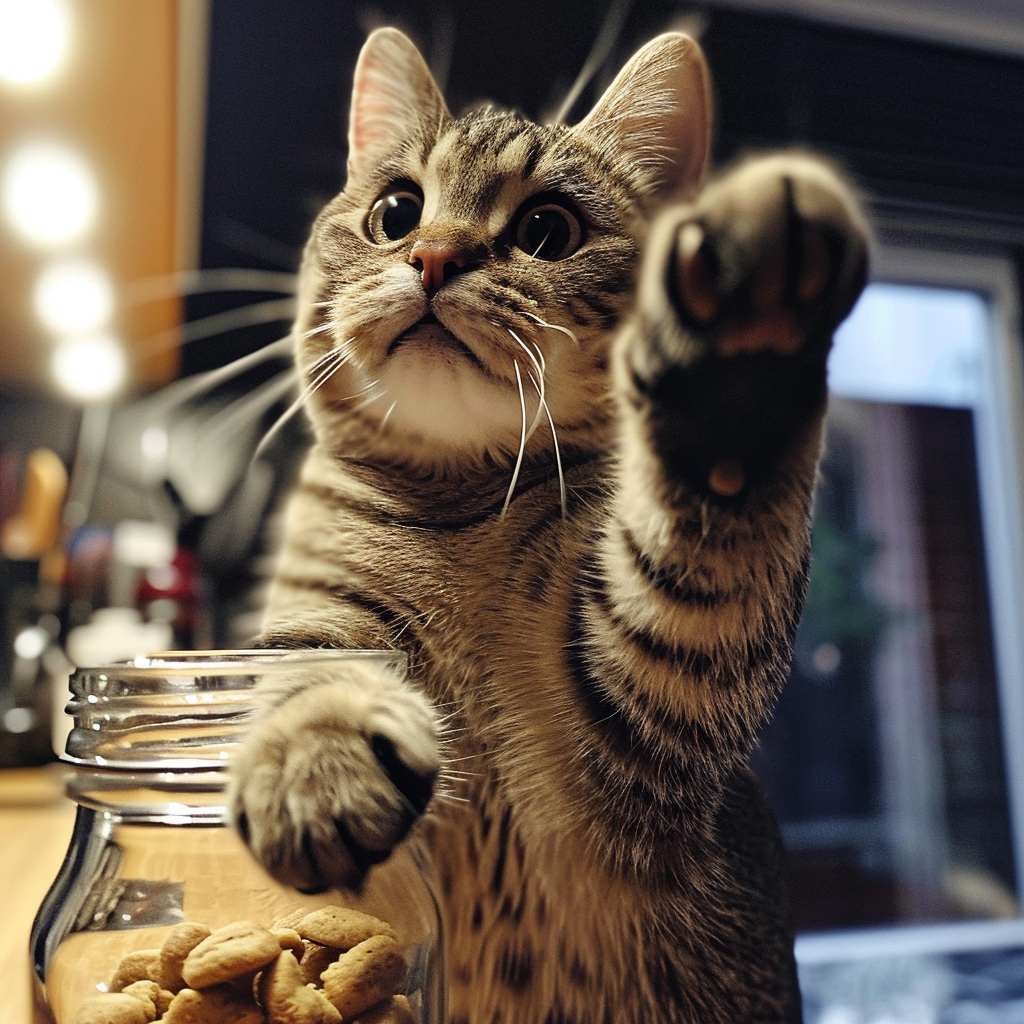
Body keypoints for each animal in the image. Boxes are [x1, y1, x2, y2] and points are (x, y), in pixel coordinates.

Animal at [228, 25, 868, 1024]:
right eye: (396, 213)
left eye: (546, 231)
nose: (434, 257)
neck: (458, 511)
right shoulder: (320, 602)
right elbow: (306, 670)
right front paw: (315, 766)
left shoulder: (651, 704)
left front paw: (738, 362)